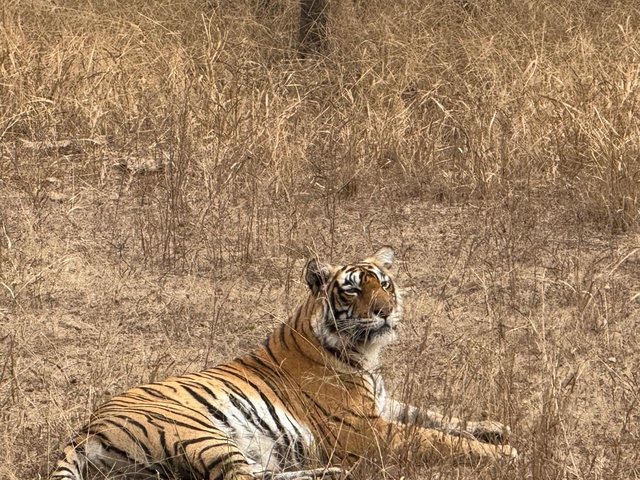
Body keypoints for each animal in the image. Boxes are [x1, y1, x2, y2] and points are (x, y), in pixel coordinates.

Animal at [50, 247, 516, 480]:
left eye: (384, 284)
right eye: (352, 290)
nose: (385, 312)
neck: (365, 356)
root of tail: (86, 427)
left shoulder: (383, 405)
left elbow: (436, 416)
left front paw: (494, 428)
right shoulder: (366, 429)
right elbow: (436, 438)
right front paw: (505, 453)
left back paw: (326, 473)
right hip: (199, 432)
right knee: (242, 479)